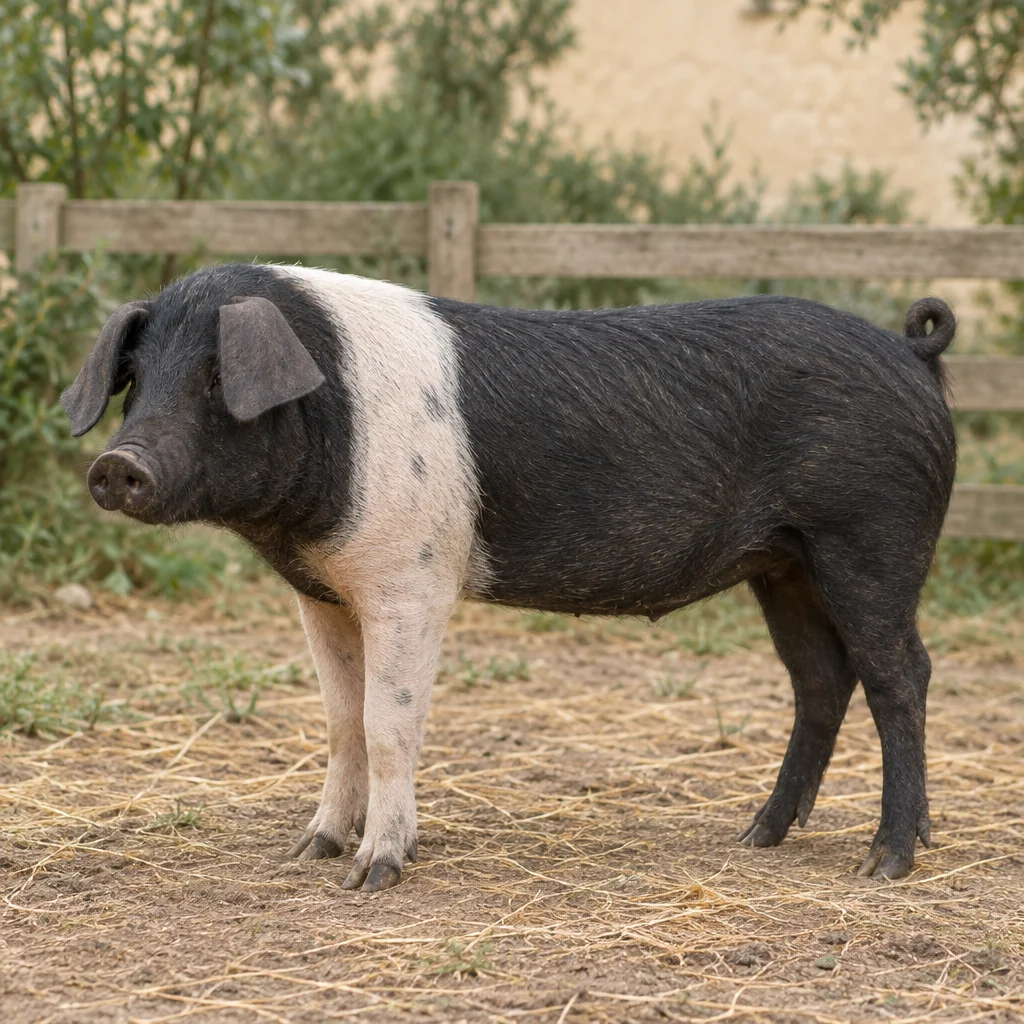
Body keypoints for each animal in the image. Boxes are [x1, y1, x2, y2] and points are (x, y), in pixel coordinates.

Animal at [62, 263, 958, 890]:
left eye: (217, 379)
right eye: (136, 380)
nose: (116, 465)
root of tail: (911, 350)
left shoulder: (413, 582)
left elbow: (388, 726)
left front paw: (371, 875)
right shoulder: (323, 594)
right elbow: (340, 724)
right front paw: (306, 851)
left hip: (870, 539)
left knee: (902, 677)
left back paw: (884, 863)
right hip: (784, 564)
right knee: (822, 681)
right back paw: (757, 835)